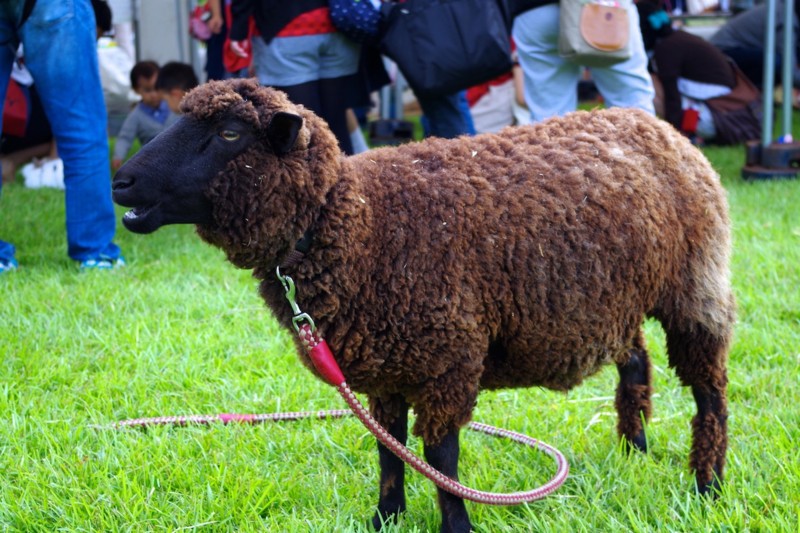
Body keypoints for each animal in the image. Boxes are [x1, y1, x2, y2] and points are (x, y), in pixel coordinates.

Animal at [112, 79, 736, 532]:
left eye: (230, 133)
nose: (122, 182)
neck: (356, 221)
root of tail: (653, 123)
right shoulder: (387, 365)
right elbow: (390, 452)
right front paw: (384, 518)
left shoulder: (446, 359)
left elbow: (441, 458)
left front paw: (455, 526)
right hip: (613, 298)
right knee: (635, 362)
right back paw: (634, 450)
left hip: (695, 287)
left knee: (709, 393)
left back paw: (707, 485)